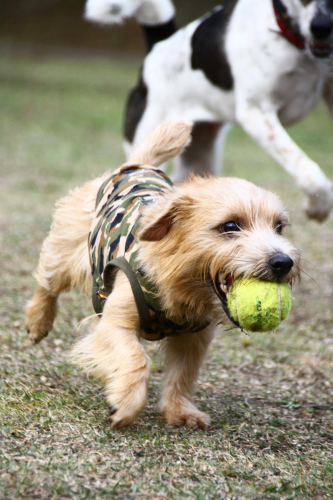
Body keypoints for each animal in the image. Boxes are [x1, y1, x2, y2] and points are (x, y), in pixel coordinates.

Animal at [26, 122, 300, 430]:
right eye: (230, 226)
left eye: (279, 227)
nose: (283, 262)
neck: (178, 287)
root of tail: (136, 165)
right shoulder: (115, 323)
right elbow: (137, 359)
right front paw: (126, 404)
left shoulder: (194, 338)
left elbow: (183, 374)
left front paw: (180, 410)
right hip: (65, 255)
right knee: (47, 284)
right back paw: (38, 322)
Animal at [85, 0, 332, 221]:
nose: (322, 26)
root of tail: (157, 47)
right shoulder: (256, 113)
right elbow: (309, 172)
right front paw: (317, 206)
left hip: (200, 157)